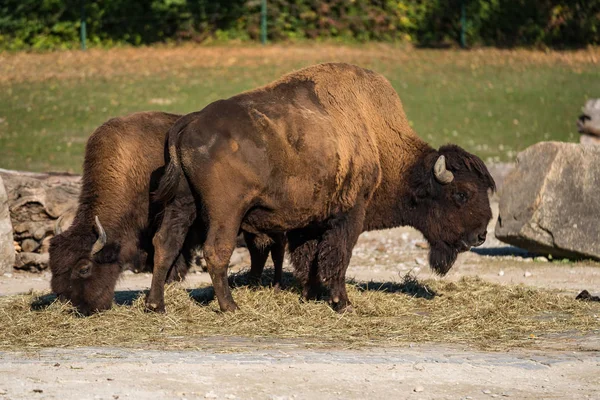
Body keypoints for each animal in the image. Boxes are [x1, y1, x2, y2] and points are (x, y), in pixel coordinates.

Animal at [48, 111, 288, 314]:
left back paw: (273, 286)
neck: (129, 169)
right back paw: (254, 284)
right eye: (53, 267)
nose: (74, 306)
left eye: (84, 268)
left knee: (275, 250)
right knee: (260, 250)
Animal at [146, 62, 496, 312]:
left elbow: (310, 258)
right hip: (226, 212)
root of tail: (190, 122)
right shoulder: (349, 215)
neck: (377, 142)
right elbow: (337, 257)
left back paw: (156, 305)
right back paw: (230, 306)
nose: (480, 235)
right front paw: (342, 303)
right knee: (216, 251)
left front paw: (309, 295)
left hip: (182, 203)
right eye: (461, 194)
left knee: (165, 243)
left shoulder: (311, 221)